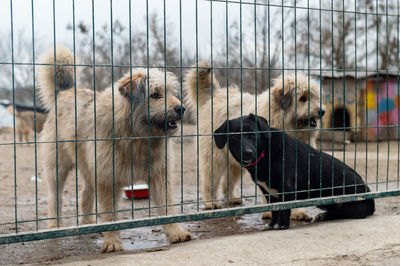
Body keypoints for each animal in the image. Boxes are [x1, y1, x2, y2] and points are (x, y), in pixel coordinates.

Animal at [216, 113, 376, 230]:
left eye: (253, 134)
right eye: (234, 136)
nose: (248, 153)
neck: (265, 152)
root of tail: (369, 194)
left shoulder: (287, 189)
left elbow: (284, 210)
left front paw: (282, 226)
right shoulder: (269, 192)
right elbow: (275, 211)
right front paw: (271, 225)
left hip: (351, 207)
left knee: (339, 212)